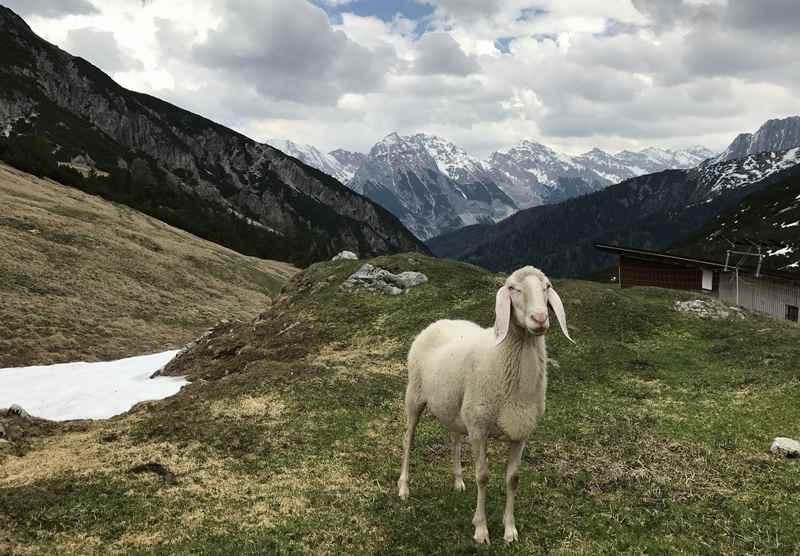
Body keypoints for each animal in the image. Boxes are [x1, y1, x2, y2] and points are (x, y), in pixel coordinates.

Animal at [396, 264, 572, 544]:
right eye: (512, 288)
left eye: (547, 287)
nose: (540, 319)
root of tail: (439, 322)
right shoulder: (479, 428)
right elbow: (483, 476)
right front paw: (481, 529)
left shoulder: (520, 430)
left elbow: (513, 478)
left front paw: (510, 530)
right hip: (414, 395)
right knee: (407, 439)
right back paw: (403, 487)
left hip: (455, 407)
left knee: (454, 439)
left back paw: (458, 481)